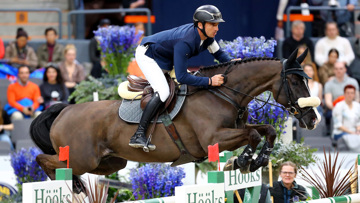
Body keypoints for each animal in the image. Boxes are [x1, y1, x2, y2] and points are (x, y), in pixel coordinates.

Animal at [29, 48, 320, 189]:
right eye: (296, 81)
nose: (313, 120)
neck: (223, 93)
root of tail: (64, 110)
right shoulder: (213, 139)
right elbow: (254, 134)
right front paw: (243, 161)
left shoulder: (233, 129)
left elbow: (267, 130)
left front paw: (256, 160)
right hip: (82, 158)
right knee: (44, 159)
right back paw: (67, 184)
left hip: (110, 162)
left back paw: (74, 184)